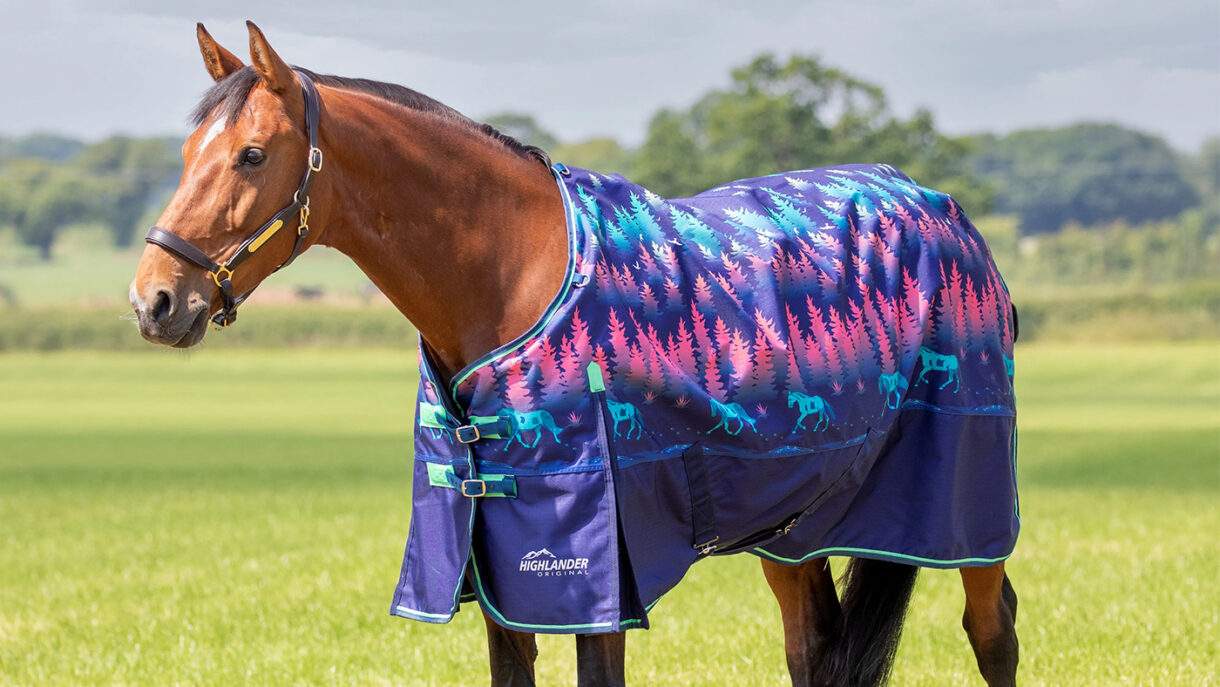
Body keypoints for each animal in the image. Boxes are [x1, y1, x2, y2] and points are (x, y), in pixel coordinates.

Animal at [130, 23, 1019, 687]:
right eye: (188, 152)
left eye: (251, 155)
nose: (154, 301)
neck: (509, 275)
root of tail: (943, 209)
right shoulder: (499, 569)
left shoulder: (598, 572)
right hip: (795, 523)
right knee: (815, 646)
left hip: (966, 510)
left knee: (993, 628)